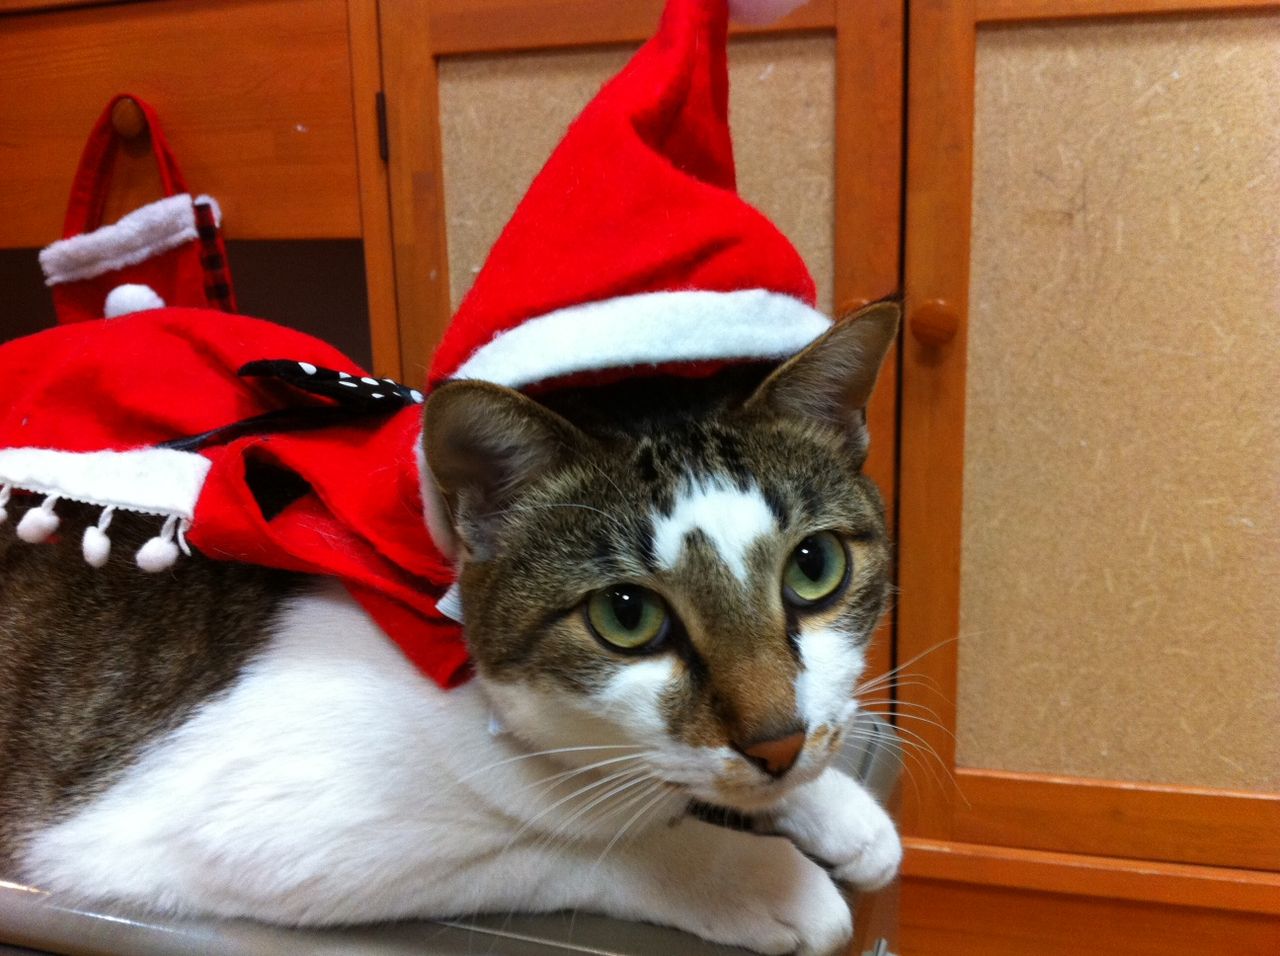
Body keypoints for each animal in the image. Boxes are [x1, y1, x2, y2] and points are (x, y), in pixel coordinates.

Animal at [0, 301, 901, 956]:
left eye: (814, 566)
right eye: (627, 616)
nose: (778, 742)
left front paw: (837, 806)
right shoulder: (256, 838)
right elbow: (587, 846)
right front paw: (756, 878)